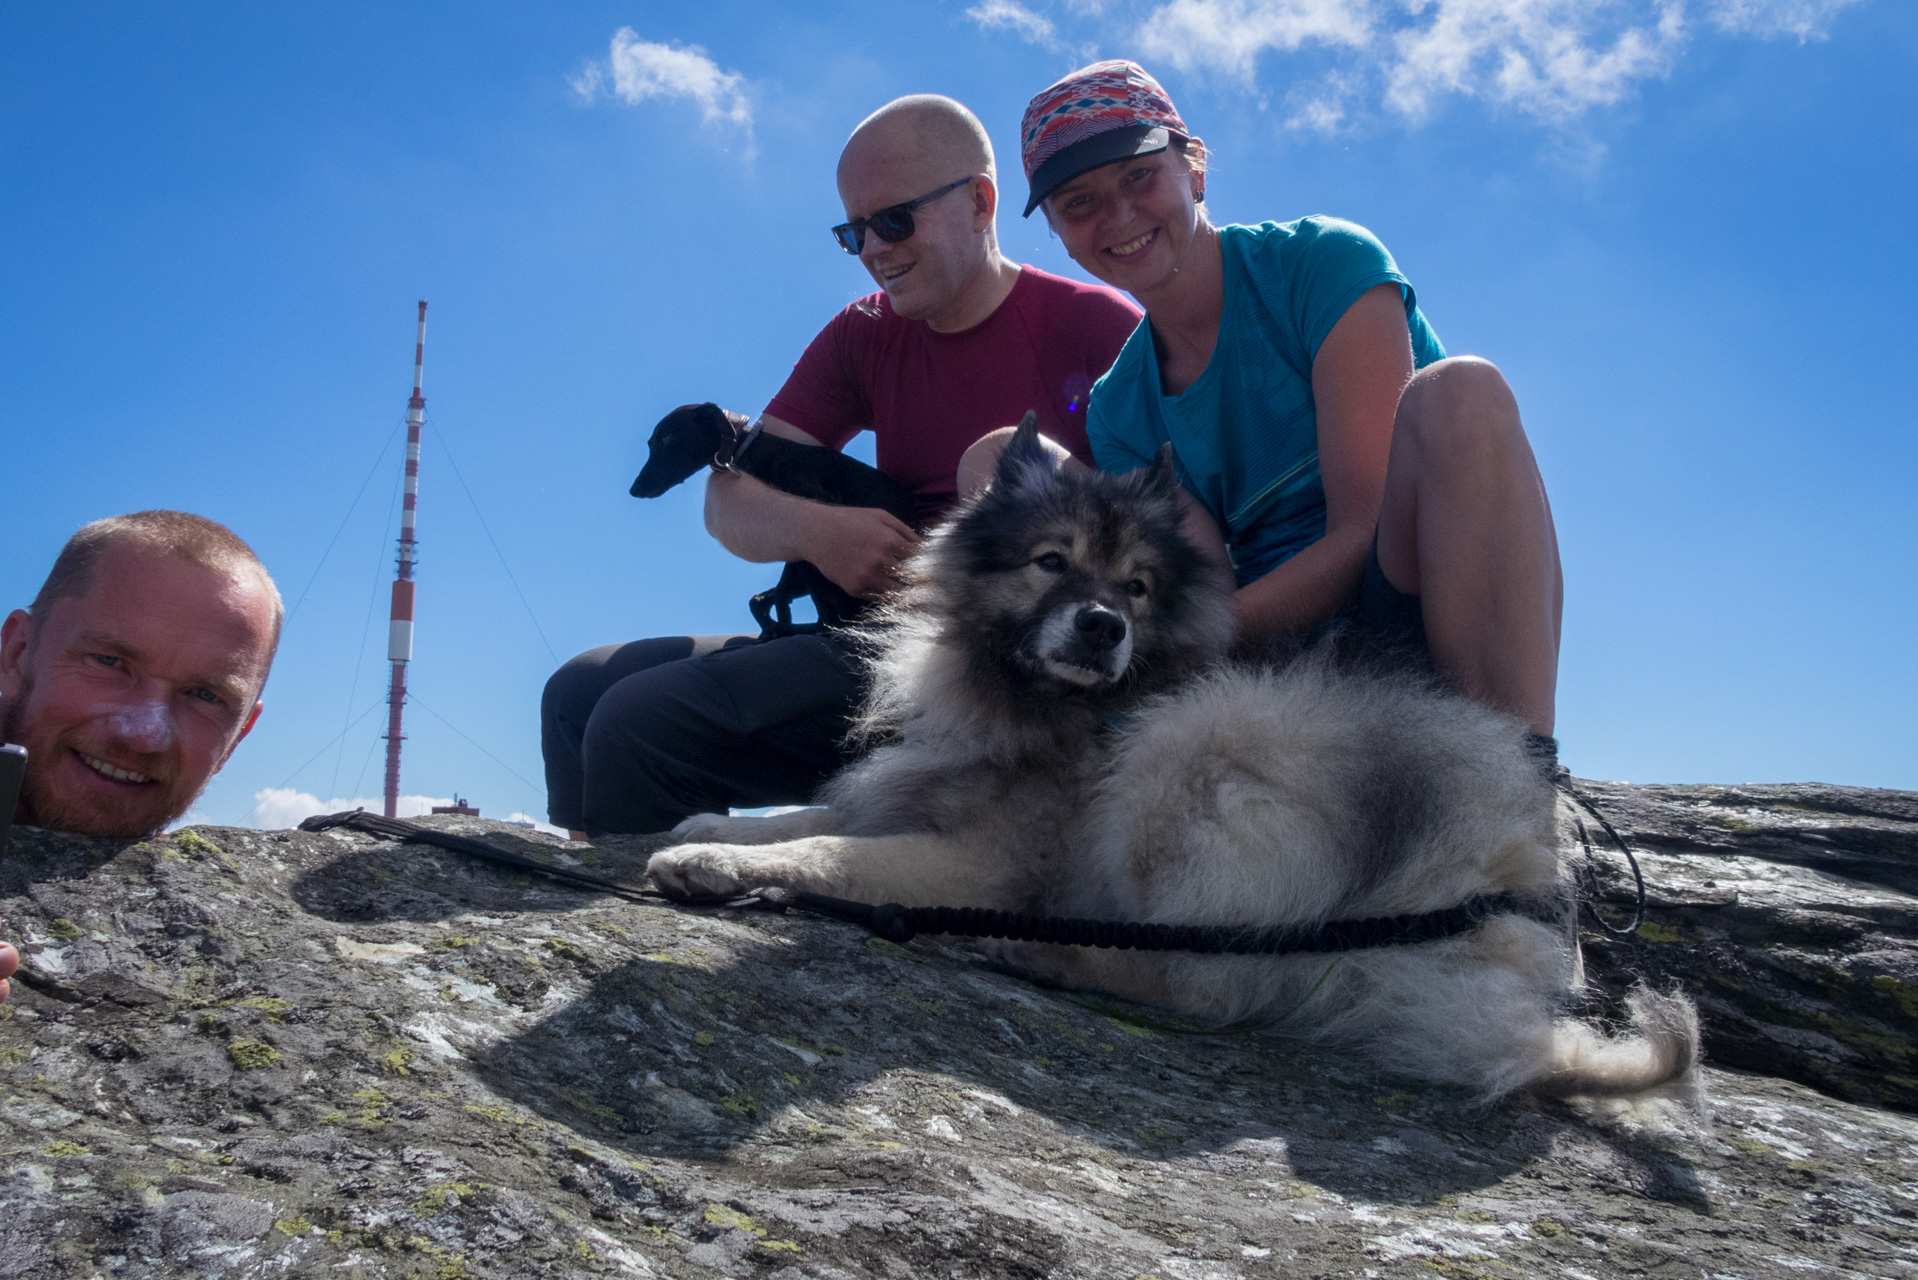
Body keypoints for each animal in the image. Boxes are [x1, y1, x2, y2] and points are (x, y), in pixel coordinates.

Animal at [632, 404, 916, 637]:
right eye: (651, 442)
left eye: (665, 439)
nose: (634, 489)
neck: (752, 448)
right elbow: (766, 598)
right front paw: (774, 619)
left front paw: (777, 622)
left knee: (831, 621)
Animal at [652, 420, 1703, 1105]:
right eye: (1051, 561)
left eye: (1138, 587)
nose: (1102, 625)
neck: (1047, 706)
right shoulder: (918, 784)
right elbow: (820, 816)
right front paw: (706, 825)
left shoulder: (986, 858)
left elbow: (833, 853)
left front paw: (712, 862)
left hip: (1200, 755)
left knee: (1207, 988)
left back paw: (1043, 950)